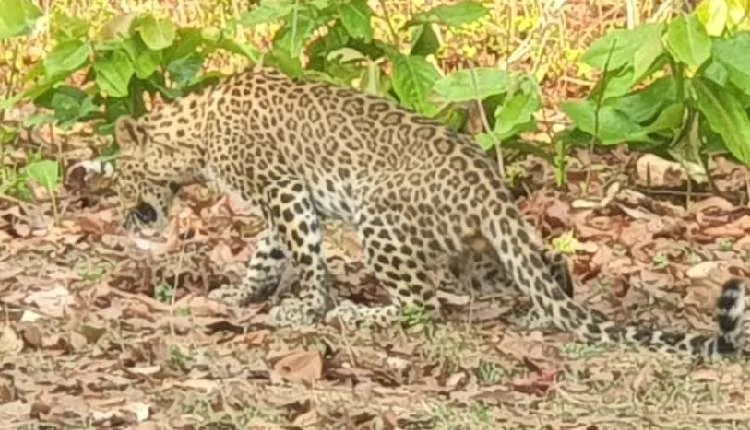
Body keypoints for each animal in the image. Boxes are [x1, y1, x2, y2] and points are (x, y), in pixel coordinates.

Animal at [103, 65, 746, 359]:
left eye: (122, 179)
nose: (125, 218)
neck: (193, 139)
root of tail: (489, 184)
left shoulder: (285, 192)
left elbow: (305, 259)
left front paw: (308, 308)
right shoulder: (284, 202)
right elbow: (267, 255)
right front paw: (240, 296)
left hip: (381, 218)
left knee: (424, 303)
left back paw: (360, 316)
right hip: (477, 253)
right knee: (543, 272)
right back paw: (542, 315)